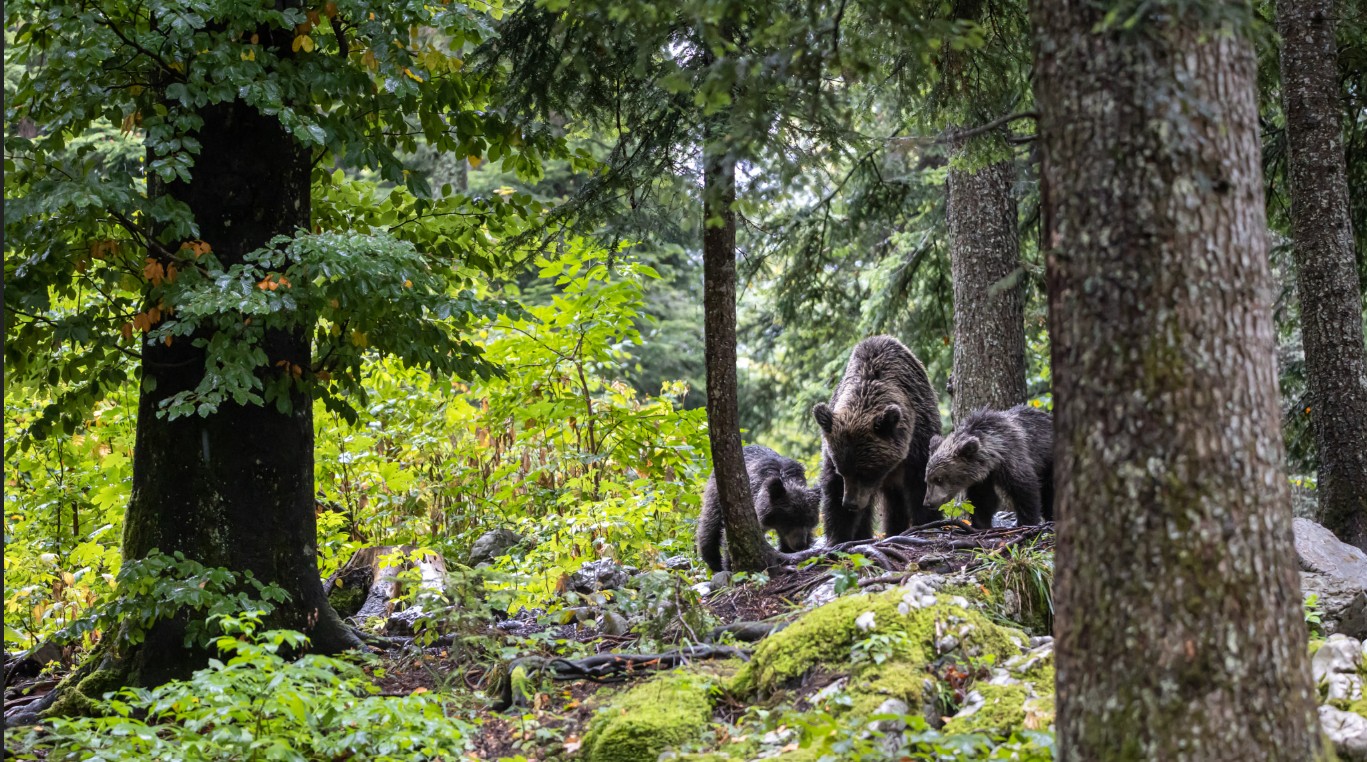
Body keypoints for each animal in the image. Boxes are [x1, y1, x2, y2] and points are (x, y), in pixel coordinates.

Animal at [812, 335, 942, 544]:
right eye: (843, 471)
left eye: (866, 472)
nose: (850, 504)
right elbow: (833, 489)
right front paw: (840, 536)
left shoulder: (919, 440)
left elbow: (922, 483)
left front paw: (928, 523)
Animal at [922, 404, 1054, 529]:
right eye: (927, 479)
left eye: (939, 479)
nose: (928, 503)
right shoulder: (982, 478)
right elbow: (983, 499)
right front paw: (981, 524)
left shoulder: (1013, 459)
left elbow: (1025, 491)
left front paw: (1026, 522)